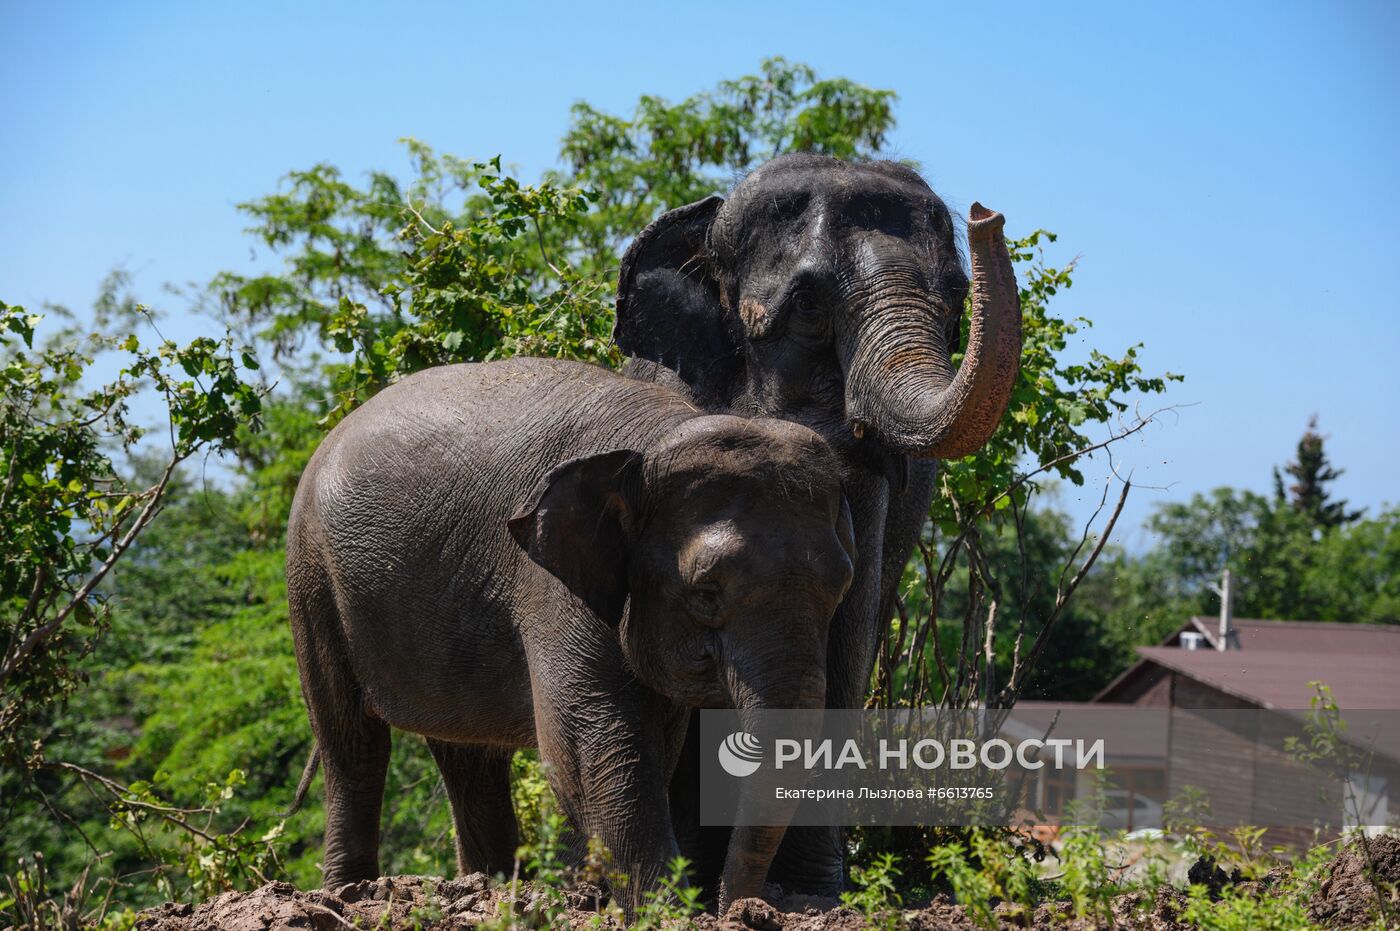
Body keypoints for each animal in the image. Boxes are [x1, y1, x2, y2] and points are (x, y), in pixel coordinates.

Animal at [284, 354, 851, 907]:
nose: (736, 908)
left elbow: (654, 742)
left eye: (842, 586)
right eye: (706, 593)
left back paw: (485, 888)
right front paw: (662, 909)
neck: (659, 435)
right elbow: (592, 742)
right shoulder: (551, 586)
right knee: (352, 743)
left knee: (467, 754)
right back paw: (350, 894)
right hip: (312, 574)